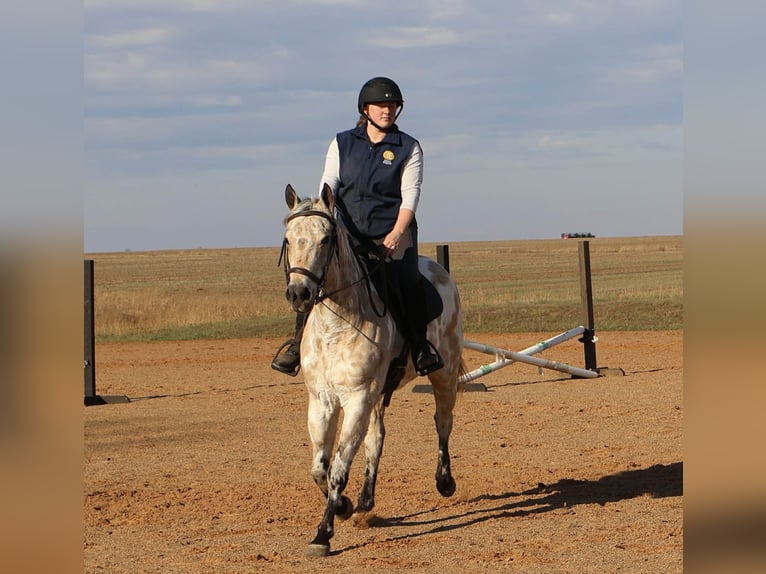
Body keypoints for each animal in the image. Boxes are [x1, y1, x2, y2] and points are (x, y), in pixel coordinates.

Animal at [279, 183, 465, 557]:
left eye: (325, 239)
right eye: (289, 239)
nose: (299, 293)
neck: (337, 324)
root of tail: (439, 272)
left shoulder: (357, 399)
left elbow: (337, 469)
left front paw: (323, 533)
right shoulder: (322, 402)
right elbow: (319, 469)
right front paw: (344, 505)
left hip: (444, 374)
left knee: (442, 422)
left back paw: (444, 481)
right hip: (380, 393)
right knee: (376, 437)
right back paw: (365, 500)